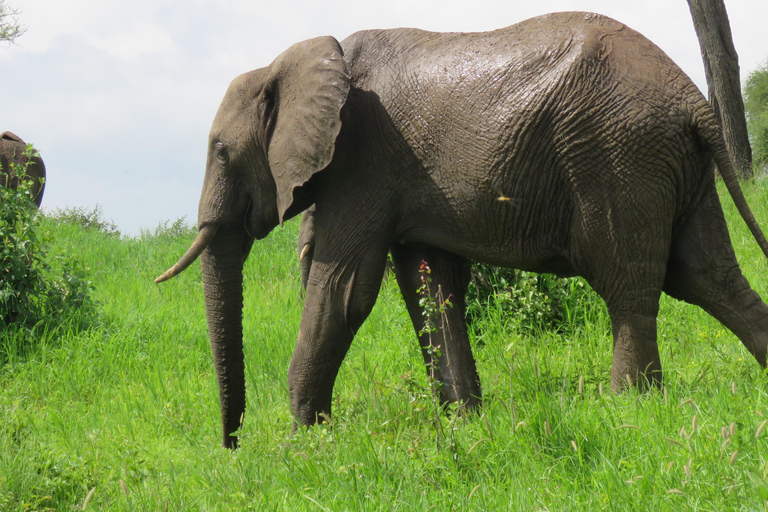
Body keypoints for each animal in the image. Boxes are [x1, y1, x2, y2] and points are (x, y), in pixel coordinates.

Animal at [154, 12, 768, 450]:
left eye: (220, 151)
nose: (233, 445)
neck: (291, 60)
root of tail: (692, 98)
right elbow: (431, 287)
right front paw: (465, 424)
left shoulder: (363, 160)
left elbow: (346, 289)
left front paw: (304, 442)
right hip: (667, 163)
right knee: (705, 276)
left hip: (617, 155)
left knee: (628, 285)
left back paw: (625, 408)